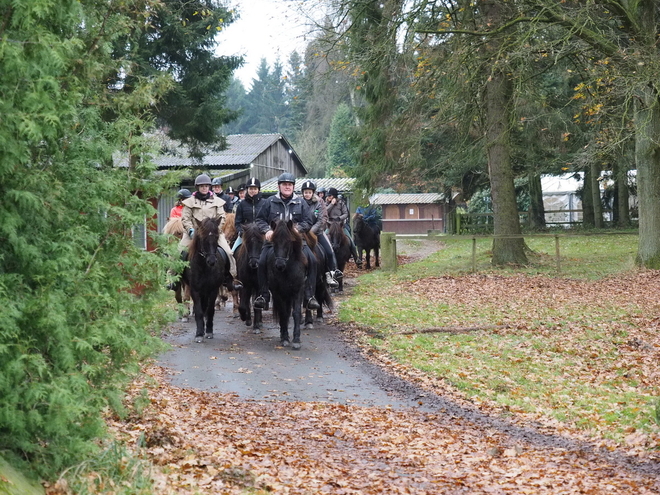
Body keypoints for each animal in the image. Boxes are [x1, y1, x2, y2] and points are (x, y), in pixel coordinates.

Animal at [266, 219, 308, 350]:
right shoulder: (277, 292)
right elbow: (283, 313)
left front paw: (296, 340)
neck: (287, 269)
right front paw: (284, 338)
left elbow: (296, 313)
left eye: (289, 241)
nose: (279, 265)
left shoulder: (298, 290)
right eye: (274, 241)